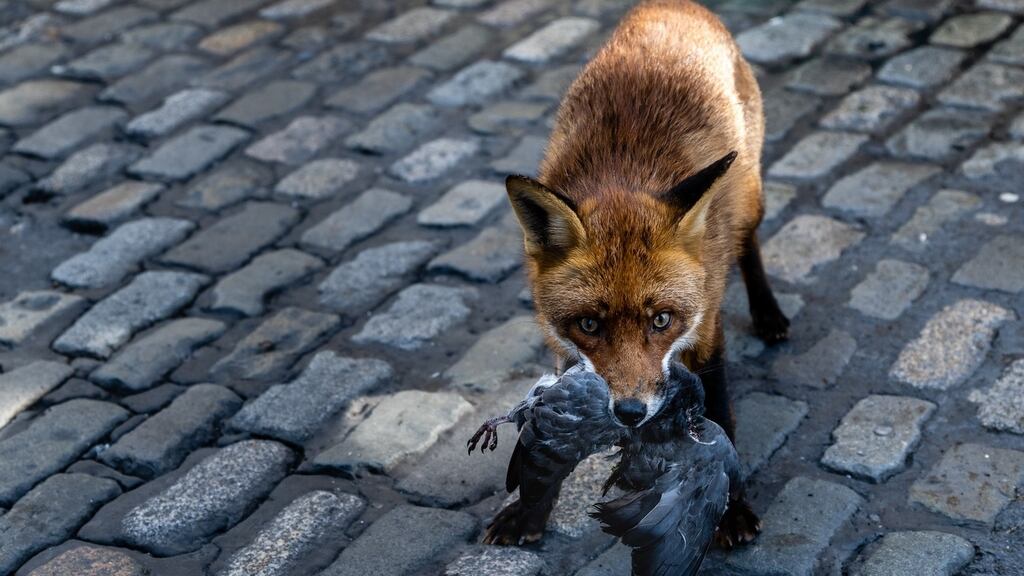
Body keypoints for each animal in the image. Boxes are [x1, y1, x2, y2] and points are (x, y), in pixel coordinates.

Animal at [488, 0, 791, 549]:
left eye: (662, 320)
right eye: (590, 324)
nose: (631, 413)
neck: (621, 179)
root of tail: (670, 6)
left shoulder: (706, 330)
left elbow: (720, 415)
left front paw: (731, 510)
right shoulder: (567, 351)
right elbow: (549, 434)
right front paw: (529, 511)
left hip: (749, 197)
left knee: (748, 244)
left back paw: (768, 313)